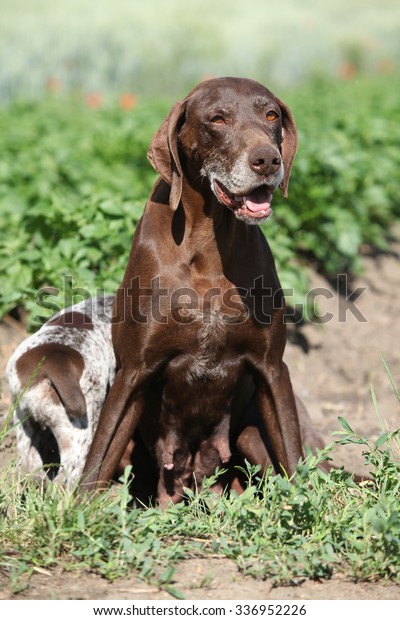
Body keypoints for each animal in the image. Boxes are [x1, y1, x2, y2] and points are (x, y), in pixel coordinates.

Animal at [80, 77, 304, 504]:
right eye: (217, 119)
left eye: (271, 116)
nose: (267, 161)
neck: (209, 249)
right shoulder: (133, 372)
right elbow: (97, 460)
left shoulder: (273, 369)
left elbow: (297, 459)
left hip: (249, 435)